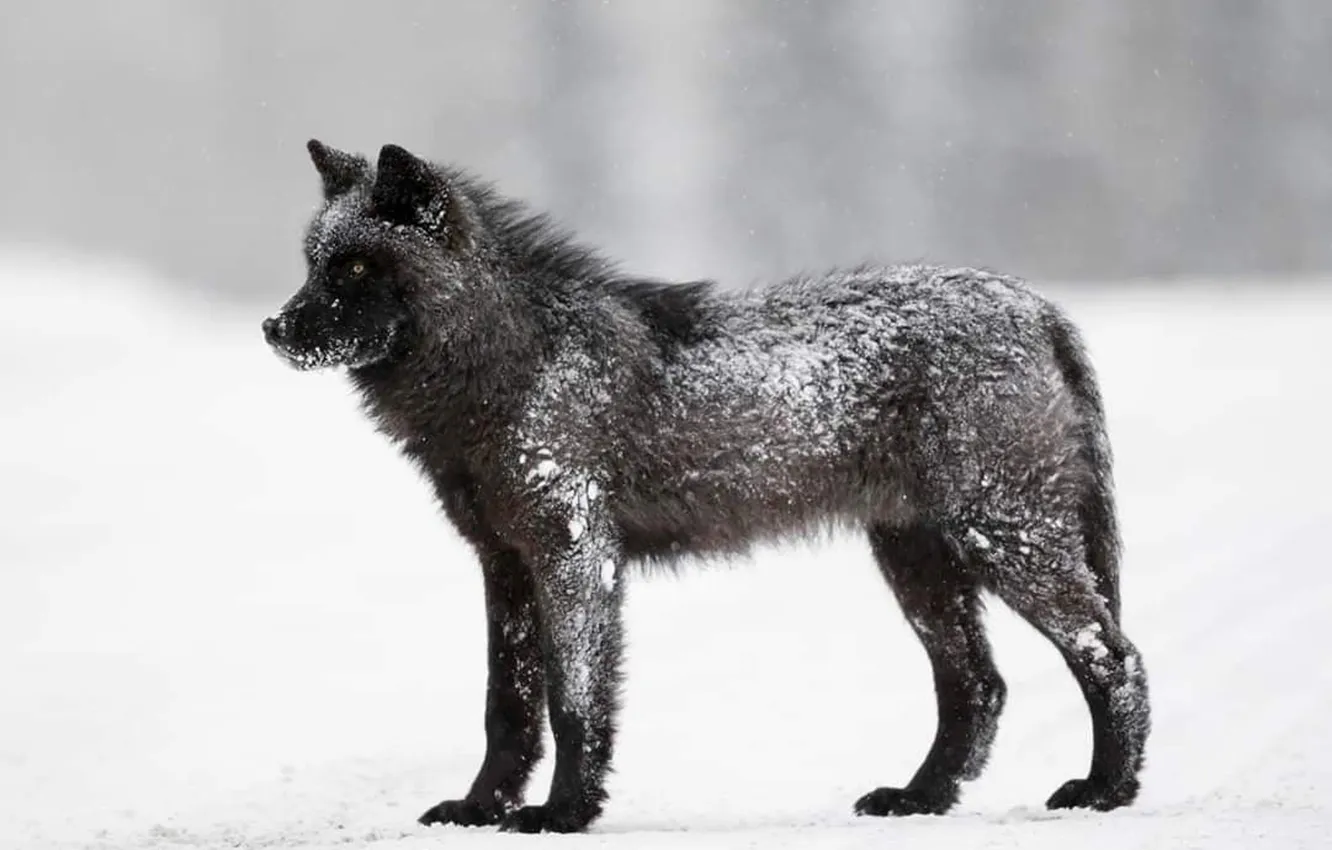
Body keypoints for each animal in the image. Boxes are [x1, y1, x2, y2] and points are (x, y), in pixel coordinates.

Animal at [262, 140, 1150, 834]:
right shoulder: (504, 565)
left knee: (1112, 653)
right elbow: (506, 707)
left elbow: (573, 701)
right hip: (918, 561)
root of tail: (1032, 303)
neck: (509, 365)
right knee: (979, 687)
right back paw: (920, 799)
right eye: (313, 264)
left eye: (358, 266)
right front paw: (481, 810)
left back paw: (1105, 791)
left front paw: (563, 813)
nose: (275, 328)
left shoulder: (575, 557)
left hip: (1000, 540)